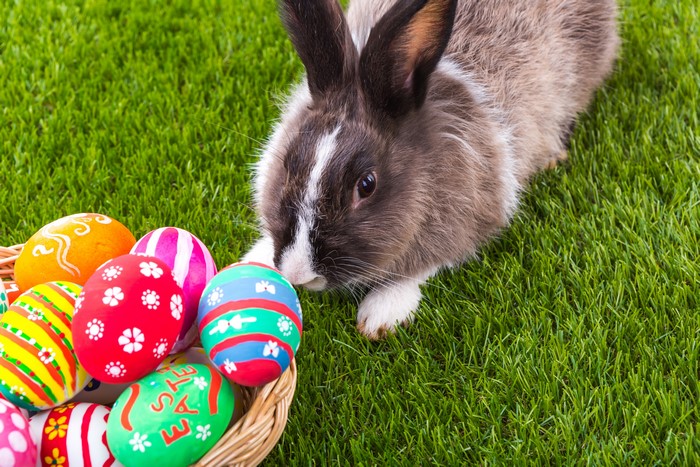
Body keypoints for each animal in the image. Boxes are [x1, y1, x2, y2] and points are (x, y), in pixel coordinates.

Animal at [244, 0, 620, 339]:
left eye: (366, 185)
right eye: (289, 161)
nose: (297, 274)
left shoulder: (472, 217)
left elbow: (423, 265)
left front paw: (381, 315)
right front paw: (254, 259)